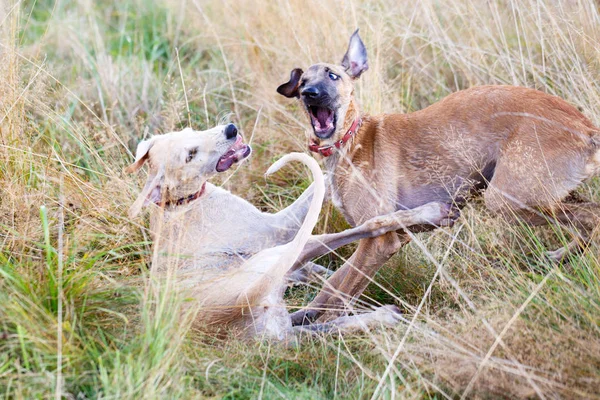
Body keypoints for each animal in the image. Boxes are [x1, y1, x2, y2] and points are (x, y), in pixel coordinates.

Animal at [278, 28, 600, 324]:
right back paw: (559, 257)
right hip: (543, 193)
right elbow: (332, 285)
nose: (309, 94)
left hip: (507, 199)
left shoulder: (380, 242)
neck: (350, 140)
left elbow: (341, 294)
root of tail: (587, 128)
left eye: (333, 76)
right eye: (303, 82)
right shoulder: (378, 236)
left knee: (592, 217)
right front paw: (303, 315)